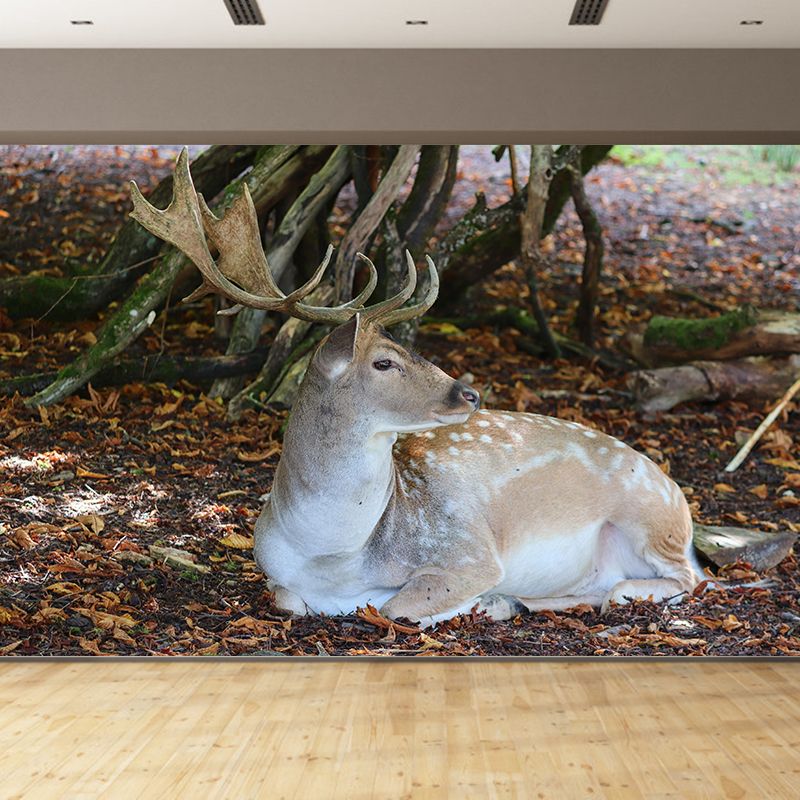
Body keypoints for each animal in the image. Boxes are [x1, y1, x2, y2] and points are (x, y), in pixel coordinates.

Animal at [129, 150, 702, 626]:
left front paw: (482, 601)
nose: (468, 394)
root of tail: (680, 497)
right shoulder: (276, 575)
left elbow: (396, 606)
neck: (334, 556)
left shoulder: (468, 551)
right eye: (384, 362)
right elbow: (291, 600)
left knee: (688, 579)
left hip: (650, 519)